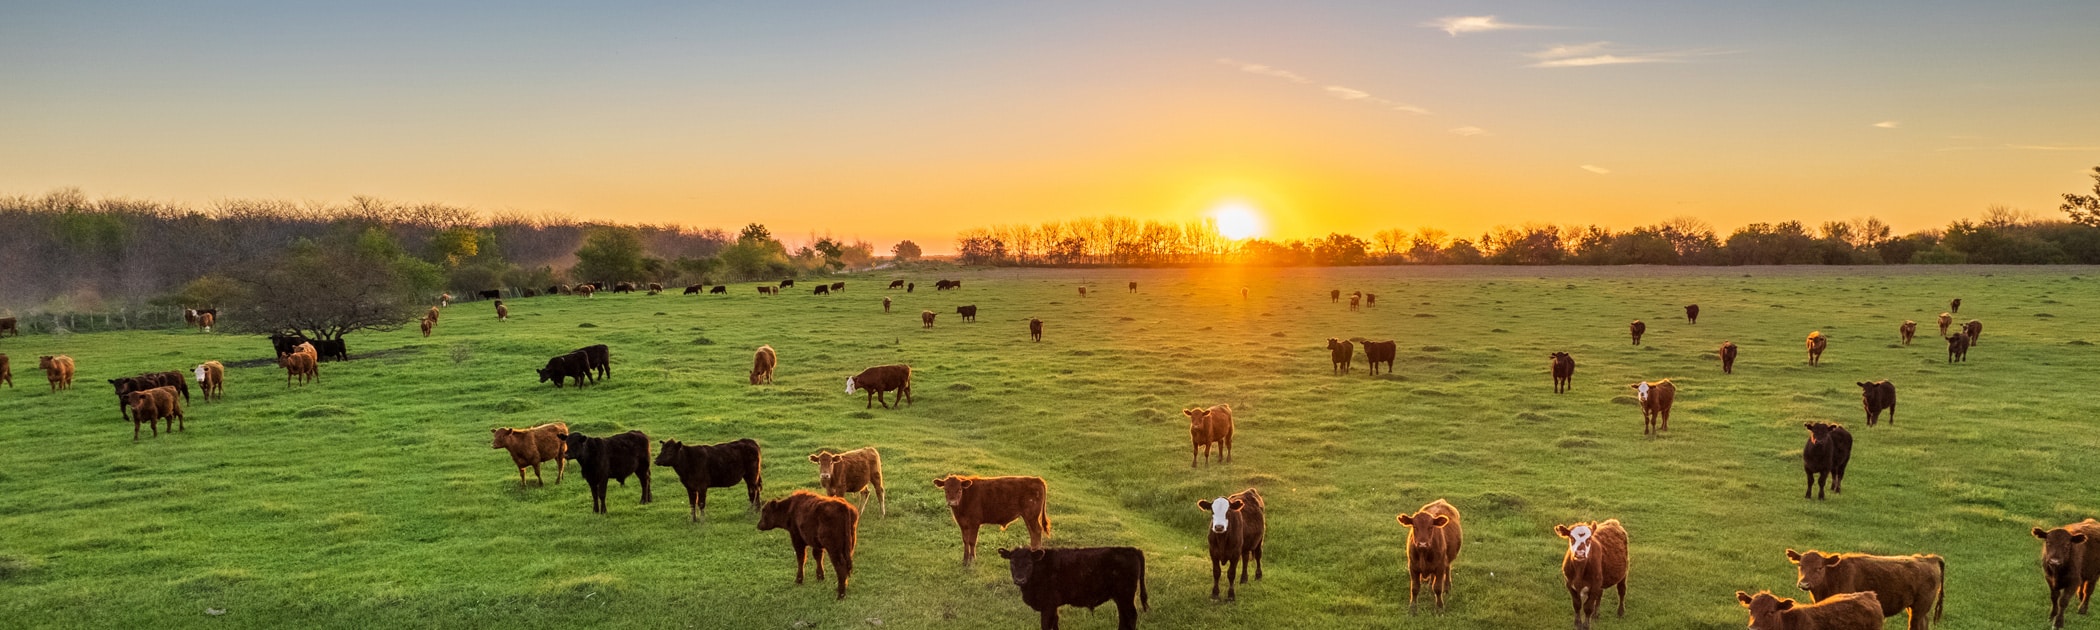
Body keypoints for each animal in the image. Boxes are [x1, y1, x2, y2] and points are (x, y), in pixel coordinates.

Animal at [995, 546, 1150, 630]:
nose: (1019, 579)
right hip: (1120, 598)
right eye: (1012, 563)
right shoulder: (1053, 606)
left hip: (1125, 596)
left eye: (1029, 563)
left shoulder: (1048, 605)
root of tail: (1131, 549)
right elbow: (1055, 623)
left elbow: (1046, 625)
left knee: (1130, 616)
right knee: (1124, 618)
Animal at [1789, 550, 1948, 625]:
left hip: (1918, 610)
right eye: (1800, 565)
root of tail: (1929, 558)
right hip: (1915, 609)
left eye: (1819, 568)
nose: (1804, 584)